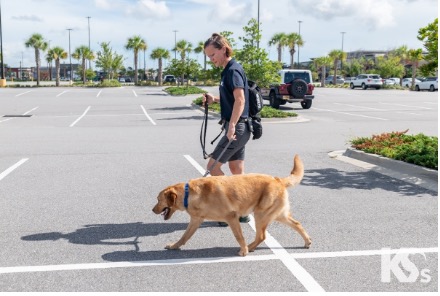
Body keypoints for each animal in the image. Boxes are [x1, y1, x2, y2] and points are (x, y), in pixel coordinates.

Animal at [153, 155, 312, 256]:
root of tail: (278, 180)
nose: (152, 210)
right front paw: (174, 246)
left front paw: (243, 251)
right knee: (297, 224)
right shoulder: (196, 221)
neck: (189, 194)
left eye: (158, 199)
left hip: (260, 214)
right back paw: (307, 241)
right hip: (277, 215)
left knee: (261, 236)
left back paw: (249, 247)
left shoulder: (231, 217)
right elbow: (184, 237)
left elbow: (238, 236)